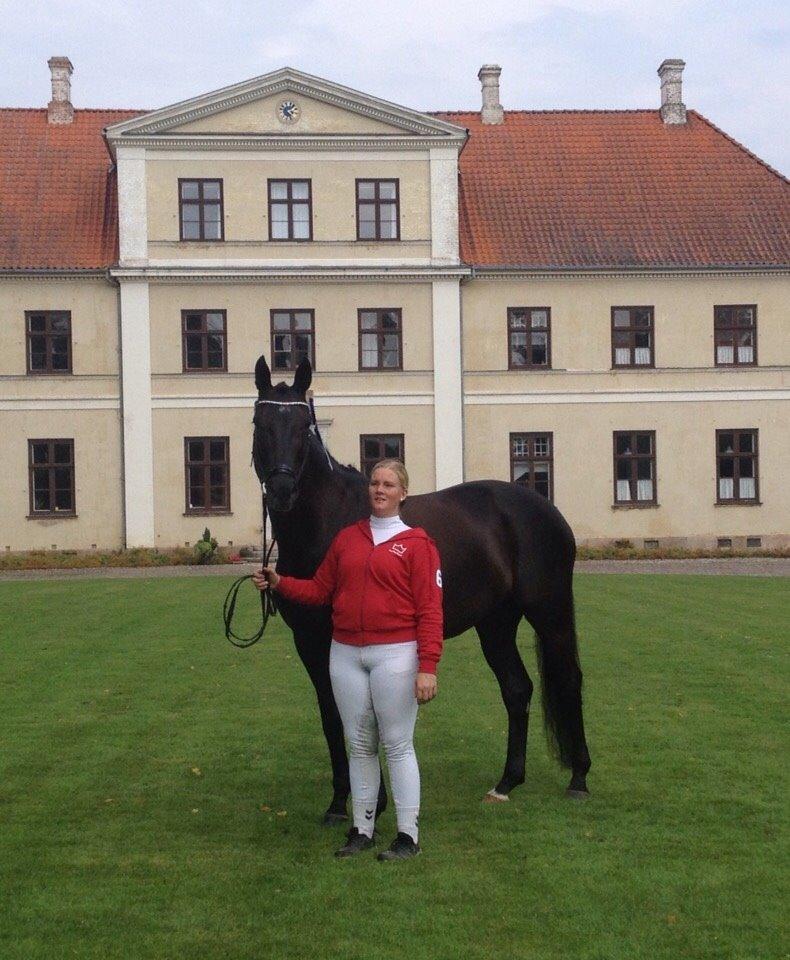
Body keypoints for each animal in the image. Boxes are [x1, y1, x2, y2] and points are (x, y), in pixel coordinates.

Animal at [251, 356, 592, 820]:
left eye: (304, 427)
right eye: (261, 422)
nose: (283, 491)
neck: (326, 525)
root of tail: (544, 507)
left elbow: (357, 716)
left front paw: (370, 802)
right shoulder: (310, 641)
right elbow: (331, 715)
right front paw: (340, 803)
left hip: (549, 612)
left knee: (569, 680)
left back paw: (579, 778)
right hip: (496, 623)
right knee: (517, 688)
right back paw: (507, 781)